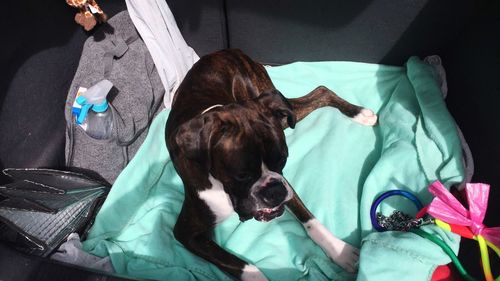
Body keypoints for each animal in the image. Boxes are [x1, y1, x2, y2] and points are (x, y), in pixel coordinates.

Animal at [166, 49, 376, 278]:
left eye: (282, 159)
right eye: (242, 175)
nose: (274, 191)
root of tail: (228, 51)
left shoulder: (285, 183)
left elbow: (310, 219)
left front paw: (340, 251)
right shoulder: (187, 234)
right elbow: (240, 265)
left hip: (281, 112)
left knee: (320, 91)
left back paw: (360, 113)